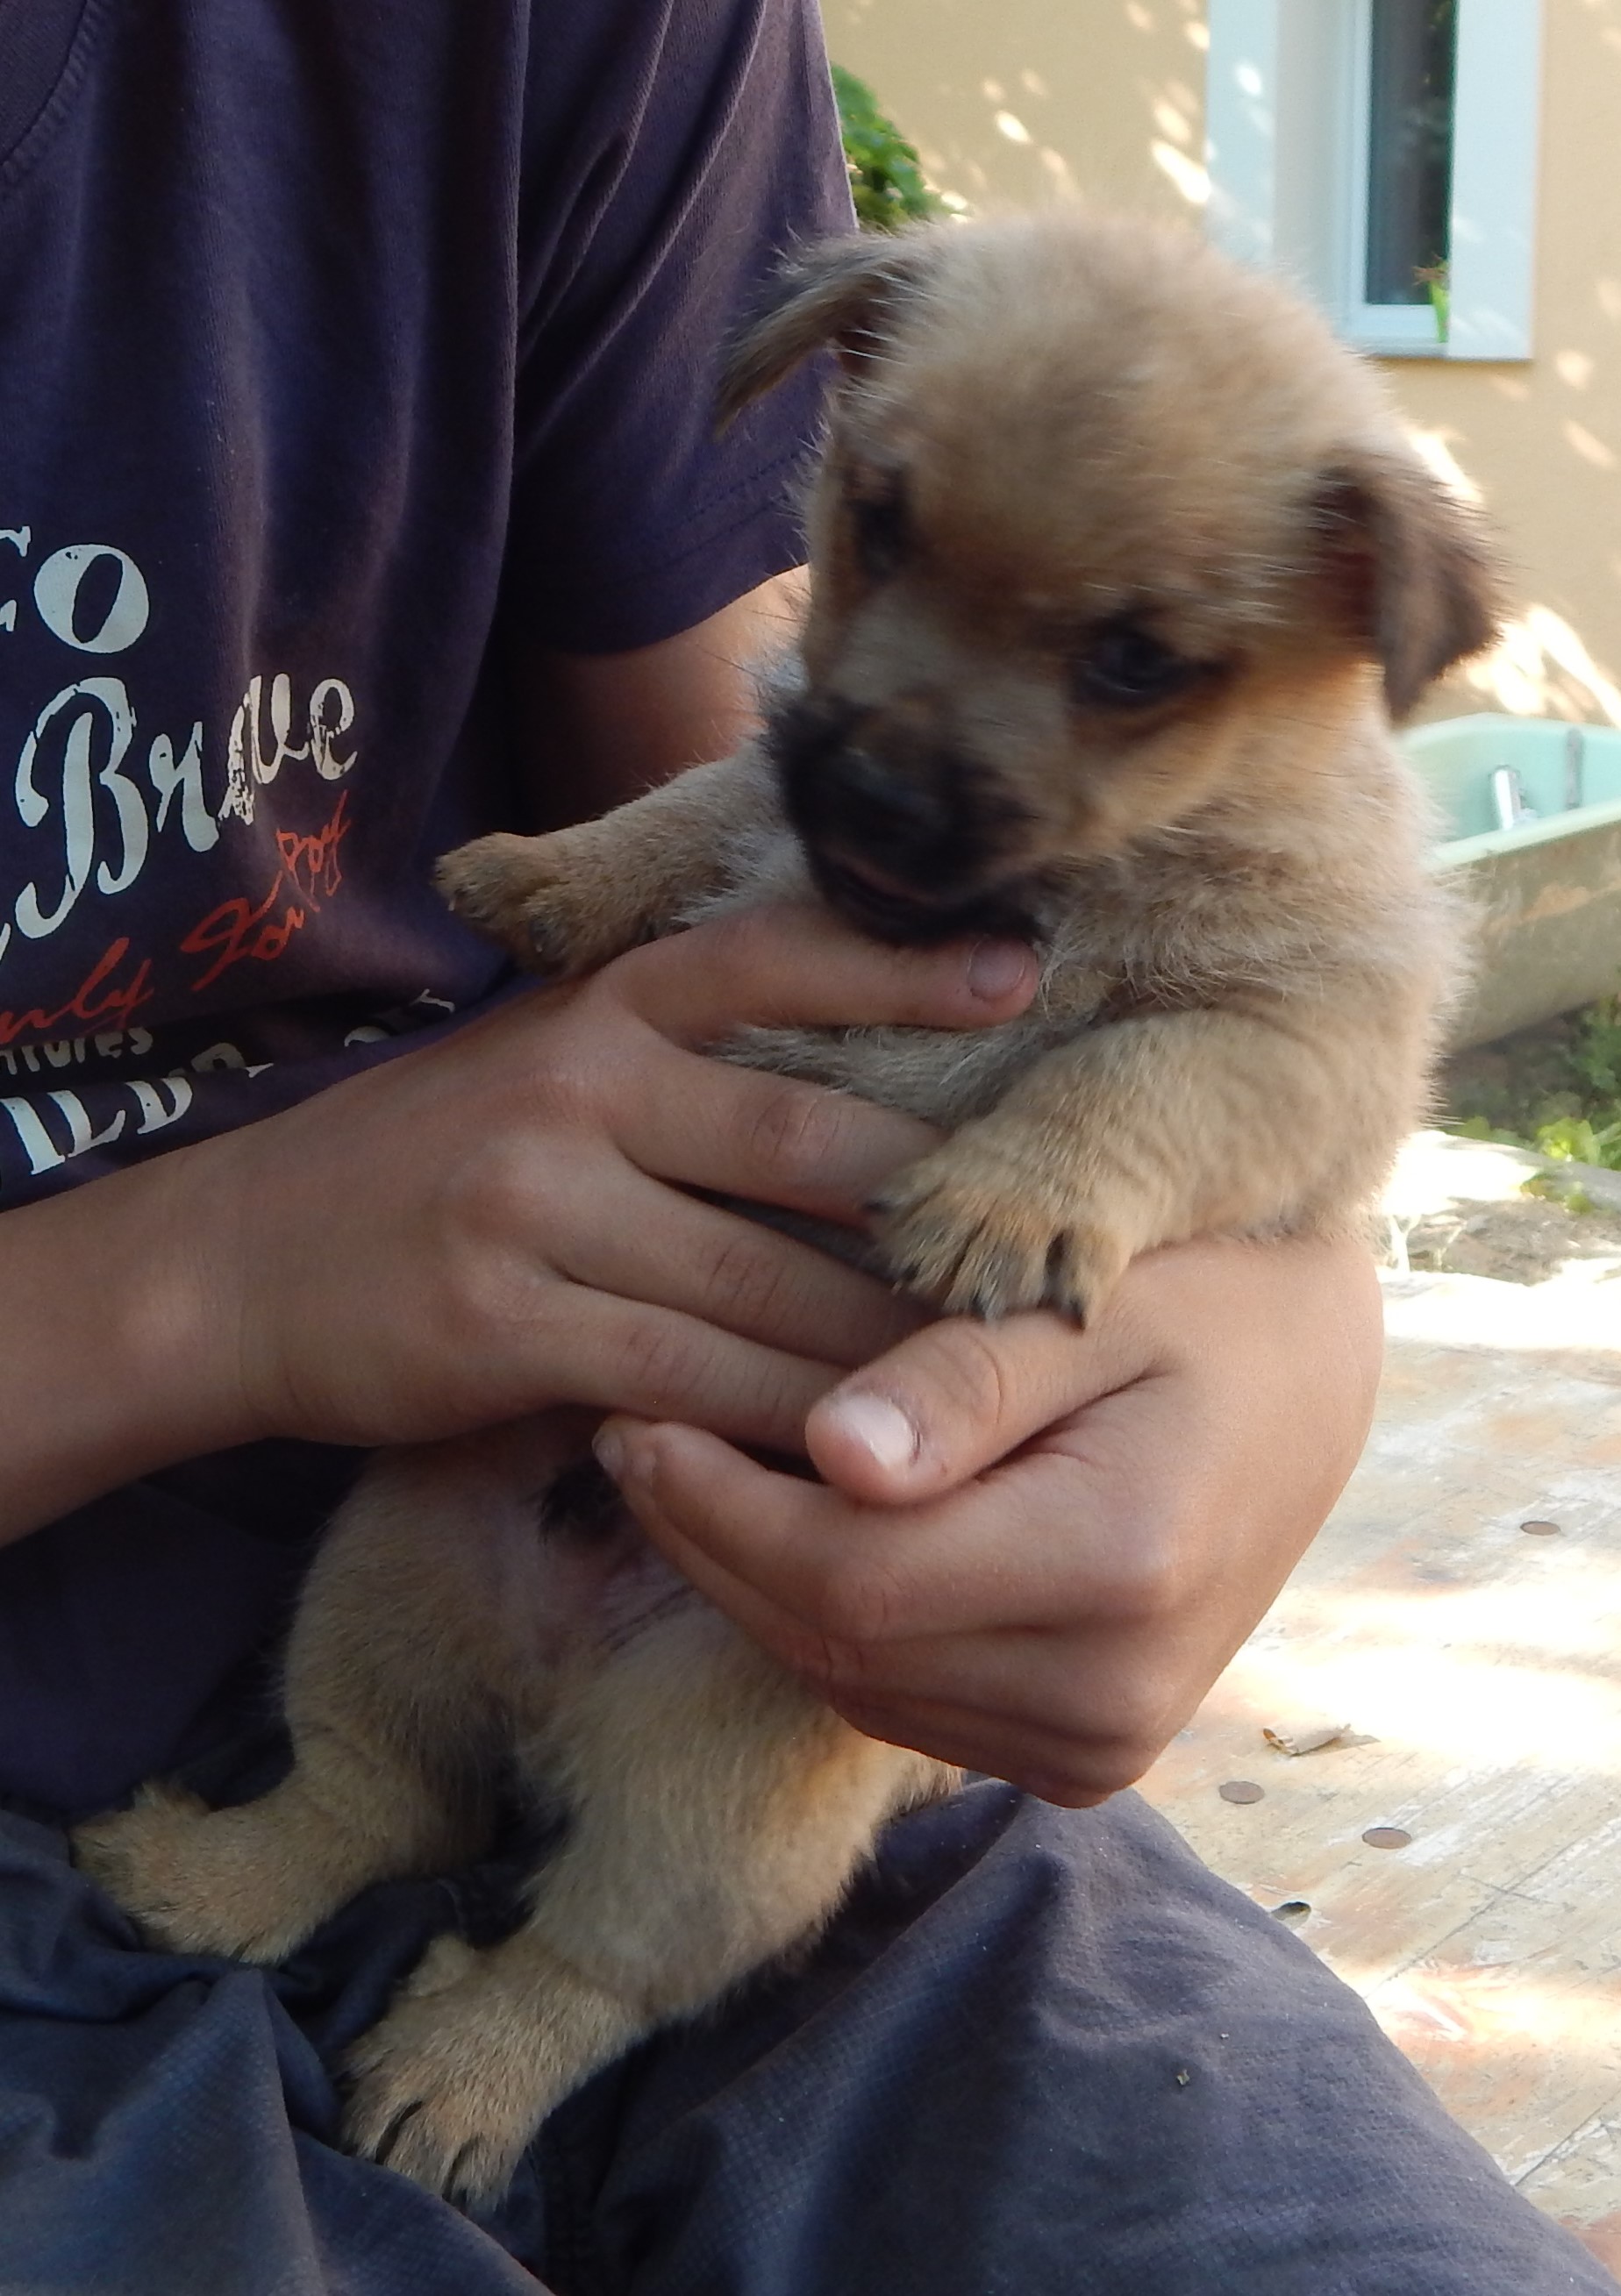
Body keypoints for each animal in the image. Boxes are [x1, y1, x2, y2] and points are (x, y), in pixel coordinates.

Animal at [75, 216, 1488, 2204]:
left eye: (1135, 659)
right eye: (876, 519)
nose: (882, 787)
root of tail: (558, 1690)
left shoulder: (1291, 1045)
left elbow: (1127, 1075)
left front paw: (1001, 1202)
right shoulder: (776, 784)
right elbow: (703, 796)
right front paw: (551, 874)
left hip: (707, 1802)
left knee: (576, 1959)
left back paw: (451, 2073)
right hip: (385, 1584)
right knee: (374, 1803)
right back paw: (201, 1874)